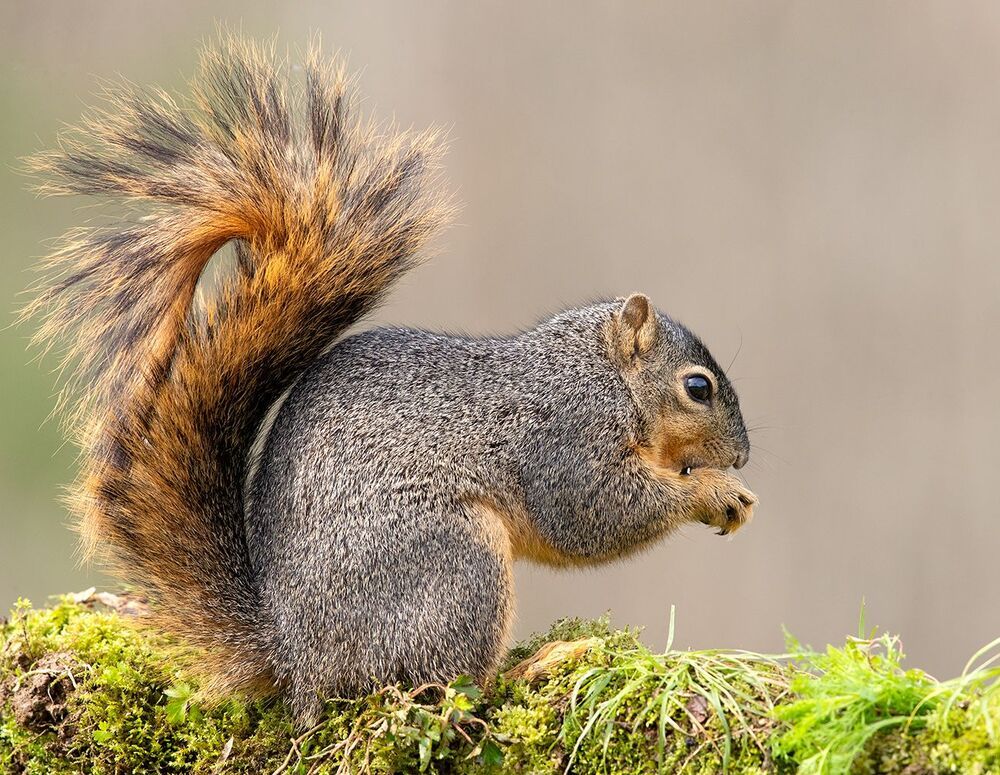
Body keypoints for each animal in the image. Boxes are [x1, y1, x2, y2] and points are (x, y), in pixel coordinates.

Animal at [25, 36, 756, 724]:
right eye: (698, 387)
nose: (744, 455)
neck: (600, 373)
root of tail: (296, 660)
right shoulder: (564, 433)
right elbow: (592, 512)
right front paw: (715, 492)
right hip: (454, 564)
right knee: (442, 684)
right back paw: (537, 663)